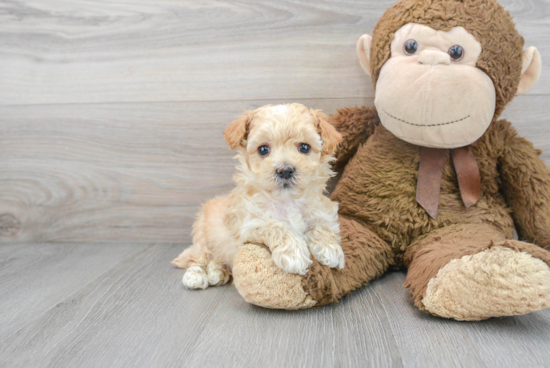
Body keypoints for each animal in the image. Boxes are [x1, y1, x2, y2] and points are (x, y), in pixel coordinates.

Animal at [172, 102, 344, 288]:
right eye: (263, 149)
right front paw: (294, 254)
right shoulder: (247, 225)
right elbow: (275, 226)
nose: (285, 170)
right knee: (199, 258)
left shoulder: (322, 213)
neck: (287, 201)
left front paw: (331, 249)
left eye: (304, 147)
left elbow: (321, 226)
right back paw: (197, 276)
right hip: (203, 236)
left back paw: (217, 272)